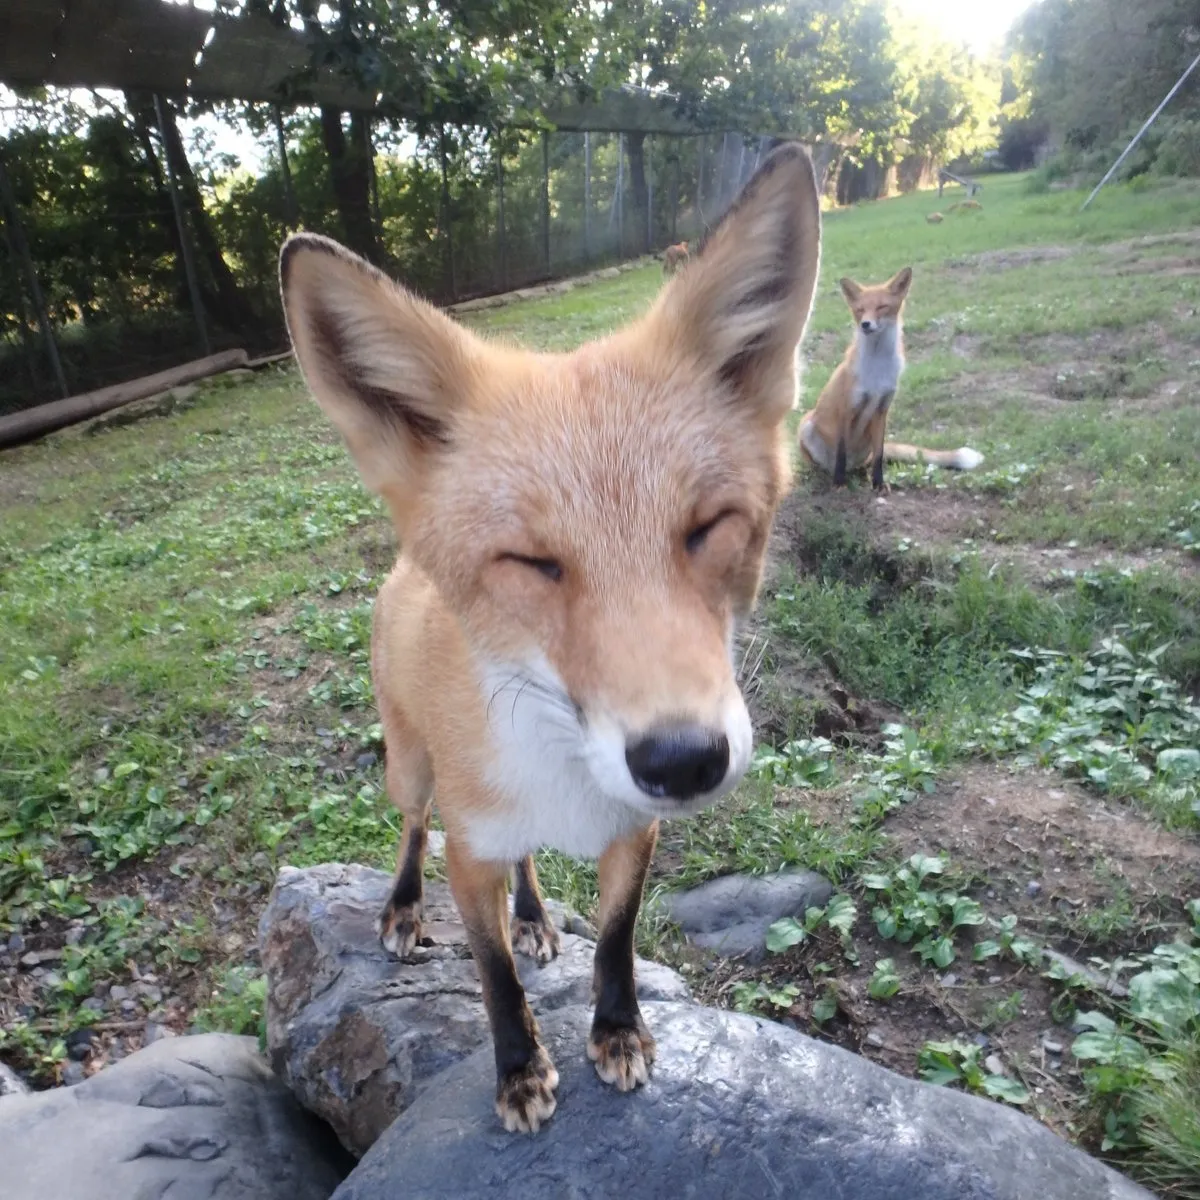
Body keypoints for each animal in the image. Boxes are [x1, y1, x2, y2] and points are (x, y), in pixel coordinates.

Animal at [279, 144, 822, 1135]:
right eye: (534, 563)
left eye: (707, 528)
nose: (684, 760)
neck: (568, 782)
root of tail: (404, 565)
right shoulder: (470, 852)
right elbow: (492, 975)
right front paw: (519, 1069)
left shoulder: (635, 832)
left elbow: (615, 940)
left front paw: (616, 1030)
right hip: (411, 769)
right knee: (409, 827)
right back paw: (402, 909)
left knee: (528, 866)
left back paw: (534, 913)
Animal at [797, 267, 983, 491]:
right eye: (860, 310)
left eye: (881, 307)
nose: (865, 324)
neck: (877, 369)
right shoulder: (846, 409)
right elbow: (841, 451)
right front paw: (839, 484)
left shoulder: (882, 409)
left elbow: (880, 454)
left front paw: (878, 484)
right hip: (806, 425)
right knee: (827, 464)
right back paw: (828, 474)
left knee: (867, 462)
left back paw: (861, 473)